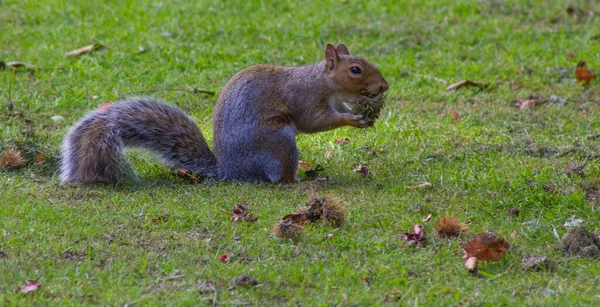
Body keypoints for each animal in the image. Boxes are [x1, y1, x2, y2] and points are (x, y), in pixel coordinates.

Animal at [59, 42, 390, 183]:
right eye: (356, 69)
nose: (384, 86)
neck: (325, 83)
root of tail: (231, 171)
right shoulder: (304, 99)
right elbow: (315, 121)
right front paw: (352, 119)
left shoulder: (335, 100)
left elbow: (340, 109)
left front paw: (363, 118)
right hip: (278, 145)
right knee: (280, 179)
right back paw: (304, 181)